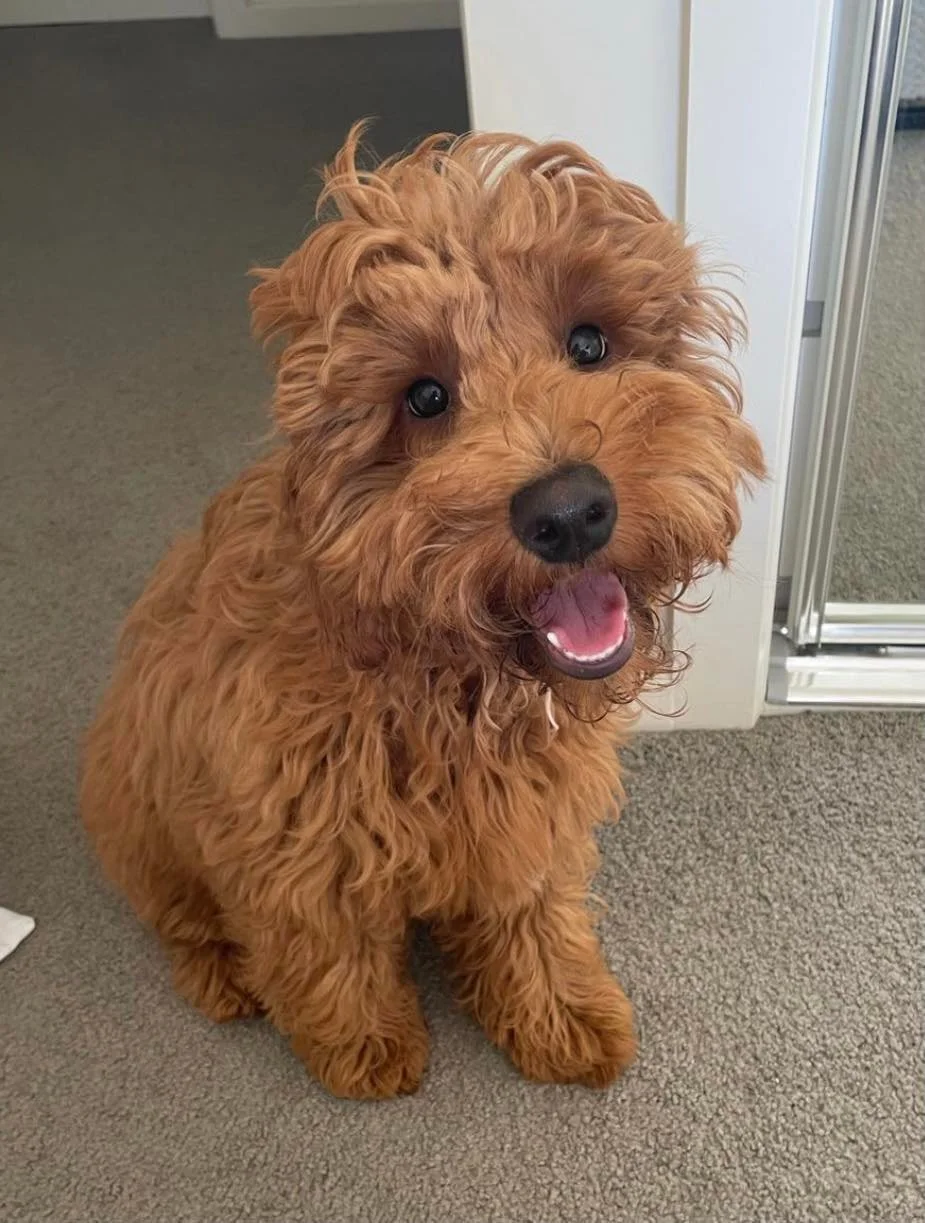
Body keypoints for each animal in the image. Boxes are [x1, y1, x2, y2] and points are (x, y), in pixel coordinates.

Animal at [81, 125, 765, 1099]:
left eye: (589, 341)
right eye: (426, 396)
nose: (568, 512)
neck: (438, 672)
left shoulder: (526, 820)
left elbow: (532, 918)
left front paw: (558, 1012)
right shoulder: (289, 834)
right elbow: (326, 947)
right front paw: (361, 1044)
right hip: (142, 817)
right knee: (183, 918)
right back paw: (224, 974)